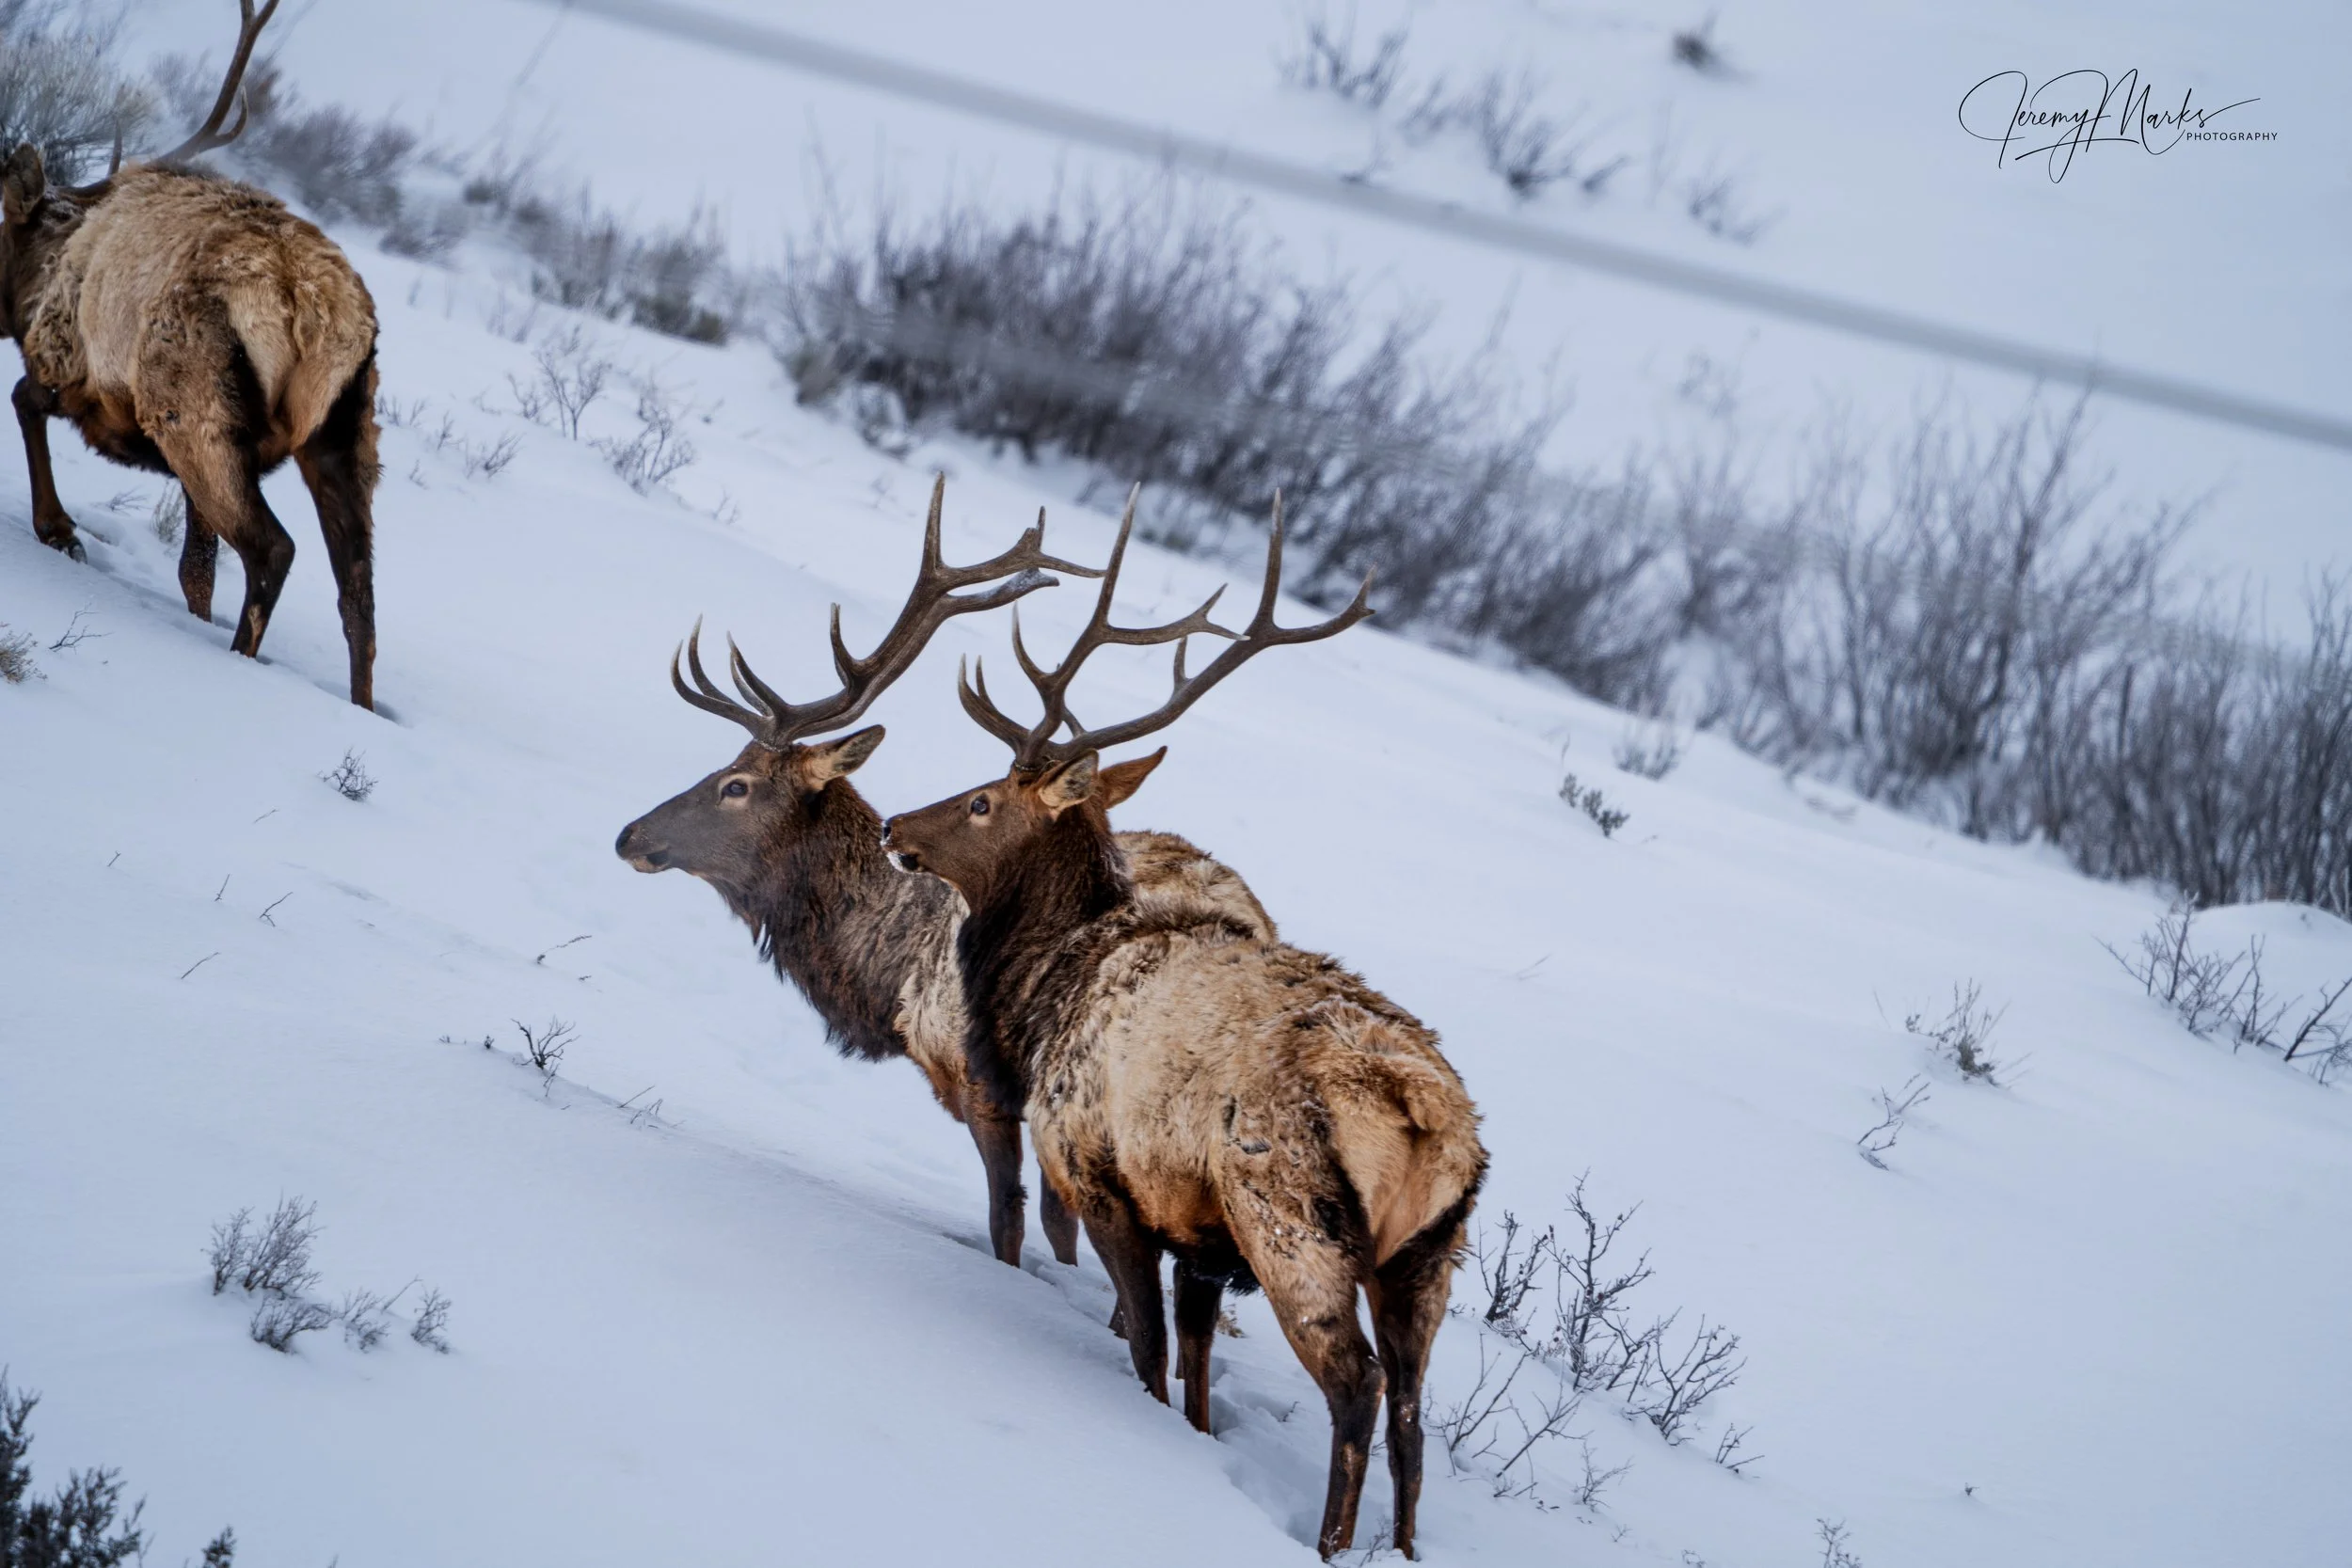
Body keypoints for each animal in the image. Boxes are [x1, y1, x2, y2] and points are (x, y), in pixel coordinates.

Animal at [1, 1, 384, 708]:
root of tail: (312, 304)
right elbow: (197, 572)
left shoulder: (68, 363)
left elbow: (22, 401)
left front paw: (59, 530)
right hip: (346, 431)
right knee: (359, 601)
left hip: (191, 407)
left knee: (272, 549)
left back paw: (237, 664)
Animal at [881, 493, 1487, 1560]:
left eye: (983, 797)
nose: (893, 826)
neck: (1038, 991)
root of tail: (1425, 1113)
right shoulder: (1200, 1237)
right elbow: (1197, 1372)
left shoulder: (1098, 1172)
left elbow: (1149, 1348)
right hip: (1430, 1255)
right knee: (1415, 1411)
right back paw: (1403, 1546)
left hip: (1292, 1215)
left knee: (1358, 1384)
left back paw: (1330, 1540)